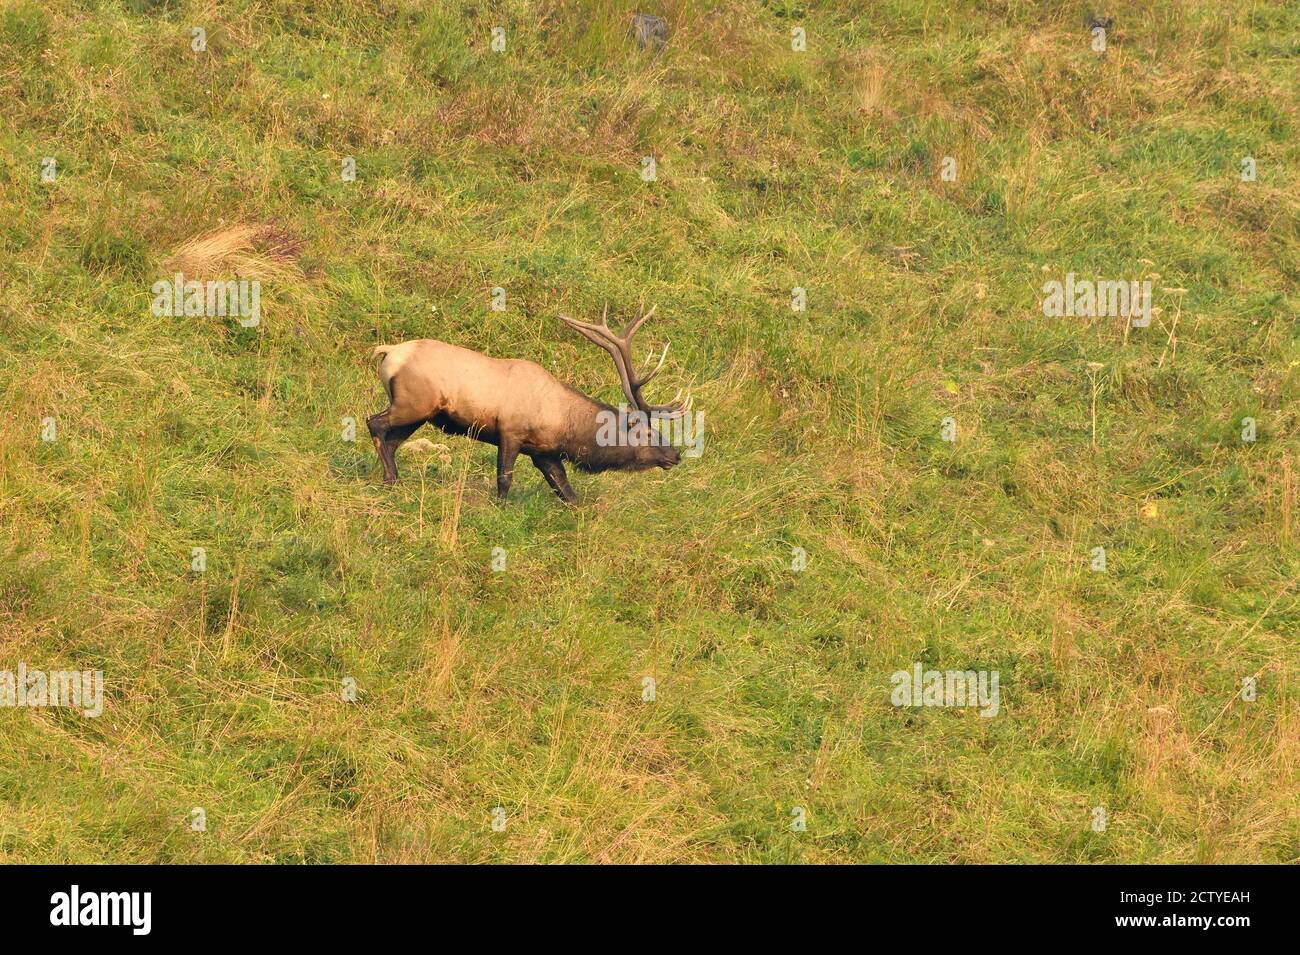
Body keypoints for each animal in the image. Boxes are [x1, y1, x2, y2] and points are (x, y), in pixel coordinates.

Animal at [366, 307, 691, 504]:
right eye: (647, 433)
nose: (675, 454)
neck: (563, 422)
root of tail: (389, 351)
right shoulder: (511, 432)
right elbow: (504, 480)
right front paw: (500, 508)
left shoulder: (544, 452)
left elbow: (567, 492)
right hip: (413, 404)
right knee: (374, 423)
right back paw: (389, 479)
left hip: (418, 413)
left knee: (391, 440)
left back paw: (394, 479)